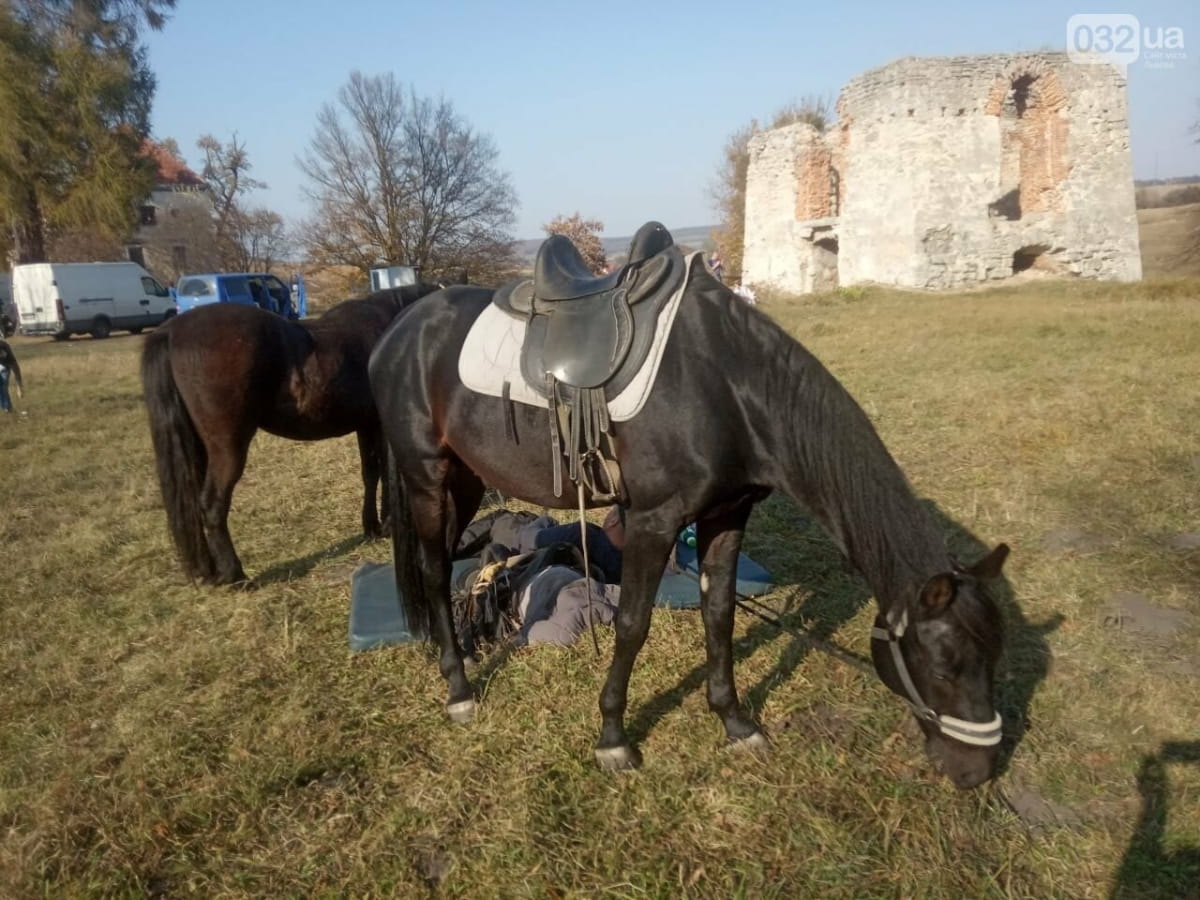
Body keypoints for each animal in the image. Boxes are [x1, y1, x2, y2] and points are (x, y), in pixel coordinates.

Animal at [141, 285, 441, 588]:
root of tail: (170, 330)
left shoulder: (365, 425)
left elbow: (370, 474)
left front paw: (372, 527)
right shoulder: (378, 425)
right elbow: (383, 475)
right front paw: (387, 524)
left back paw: (210, 571)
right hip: (227, 448)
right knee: (212, 503)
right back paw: (234, 575)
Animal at [369, 236, 1008, 792]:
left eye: (994, 658)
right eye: (944, 666)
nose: (977, 773)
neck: (726, 384)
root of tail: (399, 330)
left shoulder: (727, 515)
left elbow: (719, 614)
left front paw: (734, 722)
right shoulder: (653, 521)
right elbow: (632, 625)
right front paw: (613, 738)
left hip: (467, 479)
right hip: (428, 478)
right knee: (433, 570)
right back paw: (458, 689)